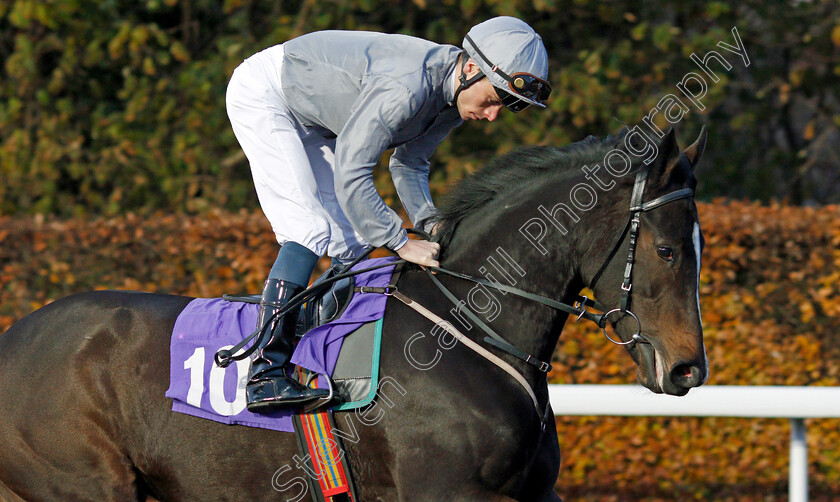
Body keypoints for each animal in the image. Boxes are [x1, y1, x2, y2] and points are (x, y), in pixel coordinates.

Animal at [0, 126, 708, 502]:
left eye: (700, 245)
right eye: (668, 249)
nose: (688, 370)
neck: (467, 329)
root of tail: (12, 338)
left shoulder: (536, 491)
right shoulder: (445, 492)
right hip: (83, 483)